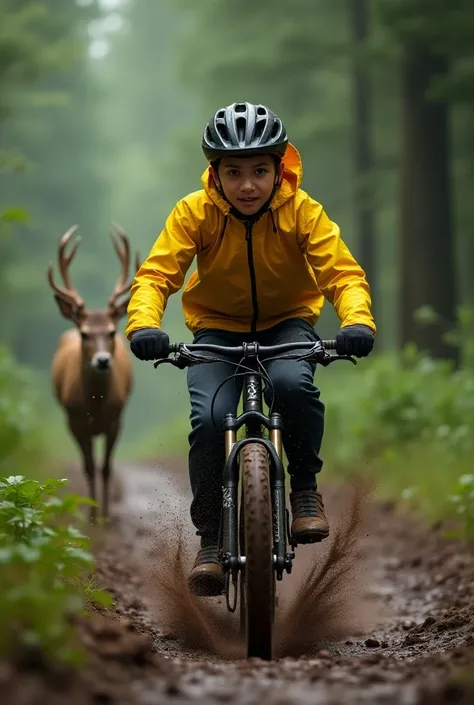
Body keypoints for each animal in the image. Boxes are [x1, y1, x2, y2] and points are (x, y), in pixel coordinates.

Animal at [48, 226, 141, 524]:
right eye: (85, 334)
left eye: (111, 331)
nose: (102, 360)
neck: (96, 404)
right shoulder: (75, 423)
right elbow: (88, 467)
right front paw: (91, 514)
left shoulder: (116, 421)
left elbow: (106, 468)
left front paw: (106, 515)